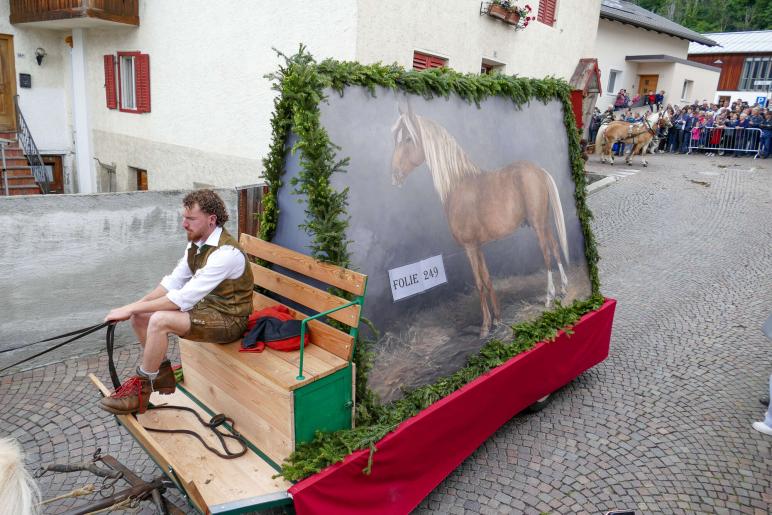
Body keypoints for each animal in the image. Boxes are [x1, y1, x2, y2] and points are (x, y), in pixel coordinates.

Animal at [392, 101, 568, 338]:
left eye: (408, 139)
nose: (394, 175)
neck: (457, 184)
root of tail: (538, 170)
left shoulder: (469, 247)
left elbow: (478, 283)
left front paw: (485, 326)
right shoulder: (479, 246)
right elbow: (487, 279)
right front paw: (498, 319)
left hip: (538, 226)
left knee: (547, 255)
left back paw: (549, 296)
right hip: (545, 223)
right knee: (556, 249)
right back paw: (564, 289)